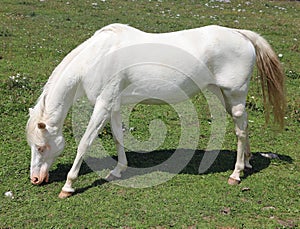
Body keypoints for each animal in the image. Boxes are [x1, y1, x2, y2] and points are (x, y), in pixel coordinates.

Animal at [25, 23, 286, 199]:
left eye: (41, 147)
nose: (35, 179)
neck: (97, 58)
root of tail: (241, 34)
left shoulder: (103, 104)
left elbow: (85, 142)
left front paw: (68, 185)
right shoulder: (114, 105)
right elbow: (118, 138)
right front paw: (118, 170)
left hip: (236, 95)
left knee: (240, 130)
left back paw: (237, 173)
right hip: (223, 95)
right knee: (243, 125)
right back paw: (248, 161)